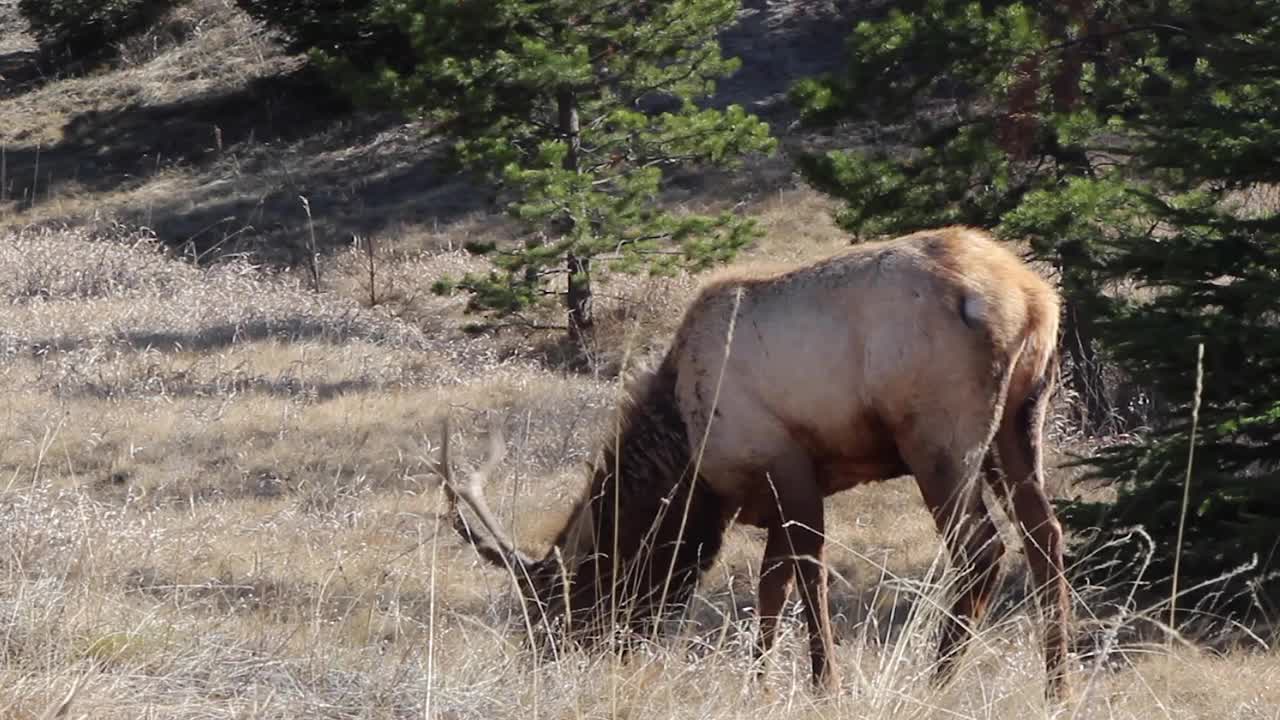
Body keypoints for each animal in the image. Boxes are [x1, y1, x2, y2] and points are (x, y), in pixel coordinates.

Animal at [430, 224, 1070, 696]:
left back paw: (935, 685)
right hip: (1020, 421)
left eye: (555, 611)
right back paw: (1057, 687)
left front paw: (824, 687)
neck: (688, 457)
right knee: (1045, 536)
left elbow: (807, 578)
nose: (544, 670)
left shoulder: (786, 466)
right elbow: (771, 588)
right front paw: (759, 683)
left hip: (939, 437)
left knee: (981, 551)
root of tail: (1034, 298)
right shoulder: (777, 492)